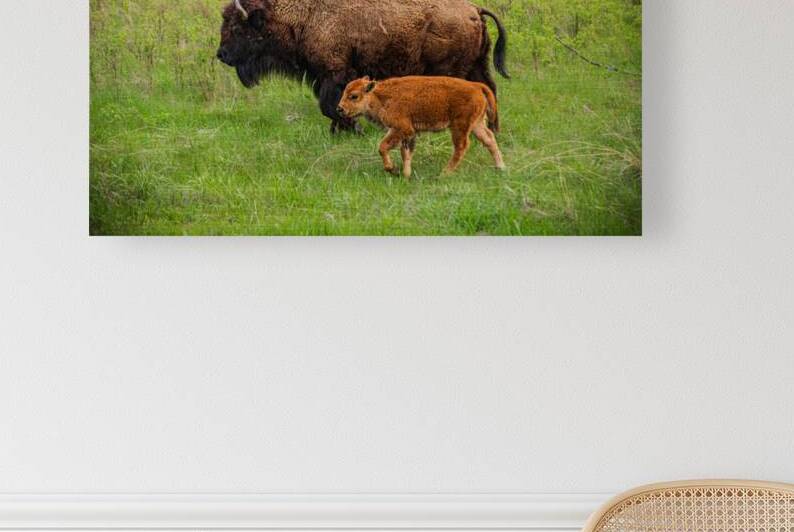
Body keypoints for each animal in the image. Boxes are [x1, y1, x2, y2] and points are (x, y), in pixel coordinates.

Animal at [216, 0, 509, 133]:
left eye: (237, 28)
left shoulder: (335, 74)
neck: (306, 14)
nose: (221, 54)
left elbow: (330, 106)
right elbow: (331, 107)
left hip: (452, 70)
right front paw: (340, 132)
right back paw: (493, 130)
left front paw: (353, 129)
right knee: (490, 91)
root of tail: (474, 9)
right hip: (477, 66)